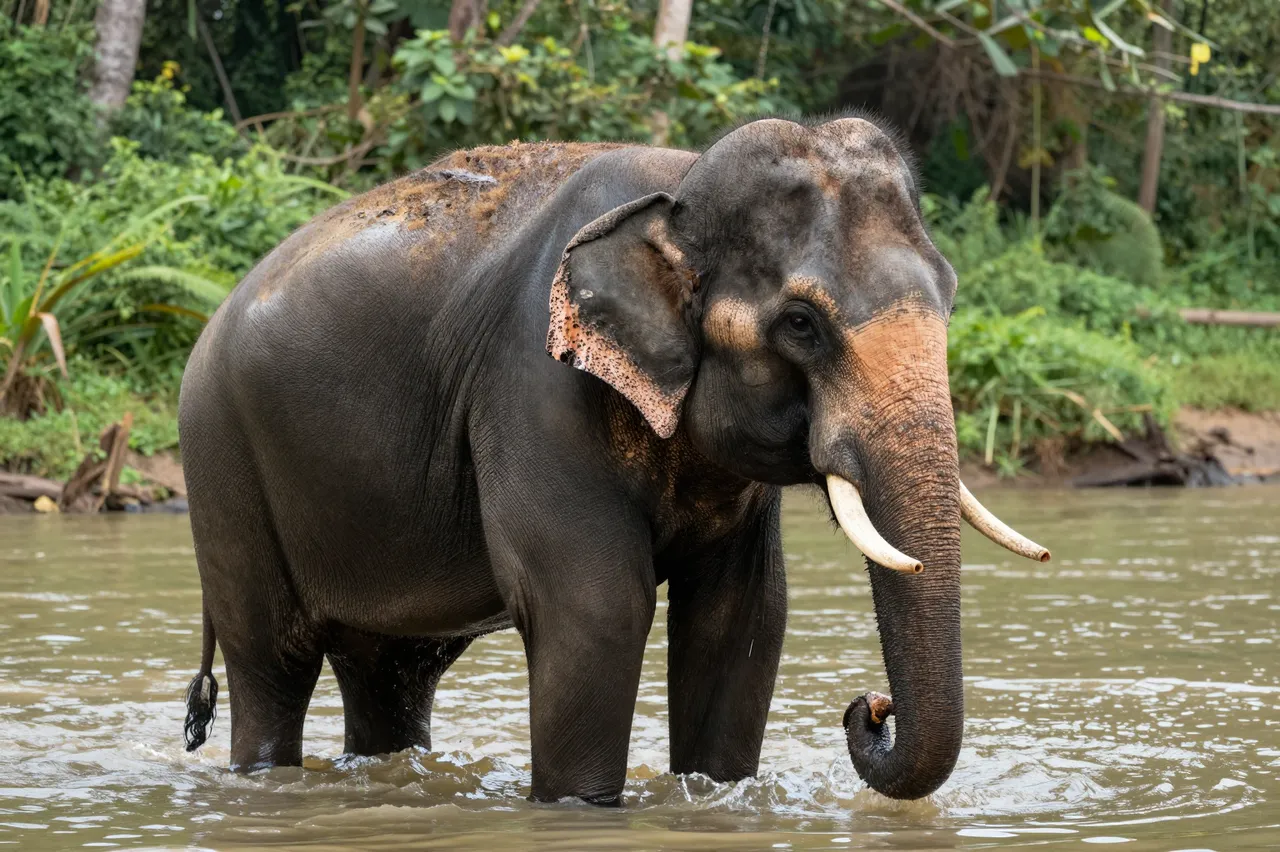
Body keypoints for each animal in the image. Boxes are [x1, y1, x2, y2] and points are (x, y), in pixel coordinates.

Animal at [178, 114, 1048, 804]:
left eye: (950, 295)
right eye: (802, 324)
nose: (871, 709)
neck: (679, 186)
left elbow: (742, 615)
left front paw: (710, 794)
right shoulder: (534, 381)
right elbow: (595, 608)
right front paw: (582, 809)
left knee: (391, 671)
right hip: (222, 462)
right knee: (274, 663)